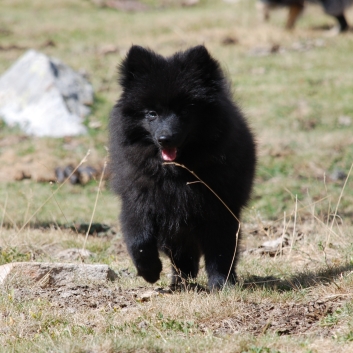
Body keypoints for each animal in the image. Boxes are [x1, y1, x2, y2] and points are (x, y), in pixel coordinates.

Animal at [108, 45, 254, 288]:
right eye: (152, 113)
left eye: (185, 111)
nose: (165, 138)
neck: (175, 175)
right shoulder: (140, 198)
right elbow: (139, 239)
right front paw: (149, 271)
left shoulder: (219, 206)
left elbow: (221, 250)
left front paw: (221, 283)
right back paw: (180, 281)